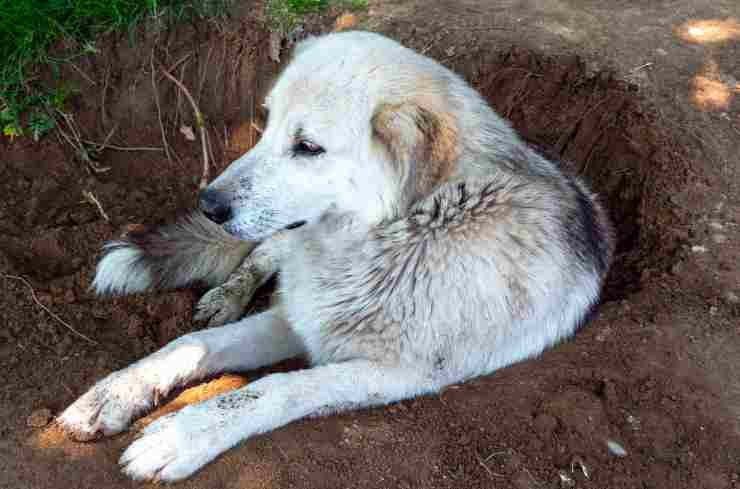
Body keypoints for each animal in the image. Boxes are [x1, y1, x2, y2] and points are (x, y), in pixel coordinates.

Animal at [56, 30, 612, 480]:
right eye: (267, 123)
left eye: (307, 147)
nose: (208, 205)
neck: (406, 230)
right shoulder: (297, 317)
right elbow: (191, 345)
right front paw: (113, 394)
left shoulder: (396, 372)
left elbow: (273, 388)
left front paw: (181, 436)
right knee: (264, 255)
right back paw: (227, 294)